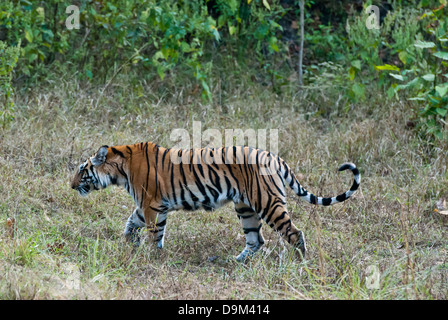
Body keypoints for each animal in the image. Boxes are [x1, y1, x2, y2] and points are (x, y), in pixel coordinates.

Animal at [71, 142, 360, 260]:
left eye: (81, 170)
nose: (71, 186)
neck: (120, 170)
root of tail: (274, 157)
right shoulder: (148, 206)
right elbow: (131, 224)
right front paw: (133, 243)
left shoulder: (151, 205)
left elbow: (155, 233)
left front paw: (152, 256)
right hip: (245, 208)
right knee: (256, 240)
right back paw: (233, 261)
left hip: (268, 203)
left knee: (294, 233)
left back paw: (300, 262)